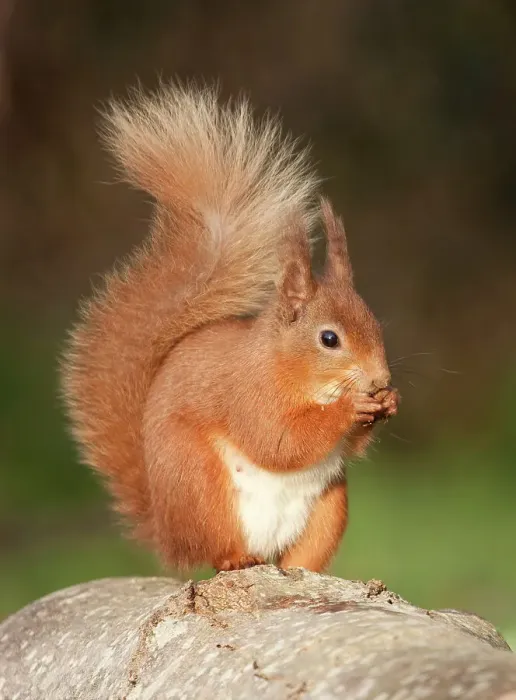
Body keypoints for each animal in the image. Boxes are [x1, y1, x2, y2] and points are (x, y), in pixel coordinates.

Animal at [62, 83, 399, 574]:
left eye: (375, 324)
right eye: (329, 339)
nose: (380, 379)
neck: (292, 369)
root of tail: (169, 535)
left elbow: (346, 449)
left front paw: (388, 402)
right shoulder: (248, 392)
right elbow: (277, 440)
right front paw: (350, 406)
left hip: (329, 505)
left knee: (301, 554)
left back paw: (300, 569)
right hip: (199, 482)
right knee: (216, 550)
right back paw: (236, 558)